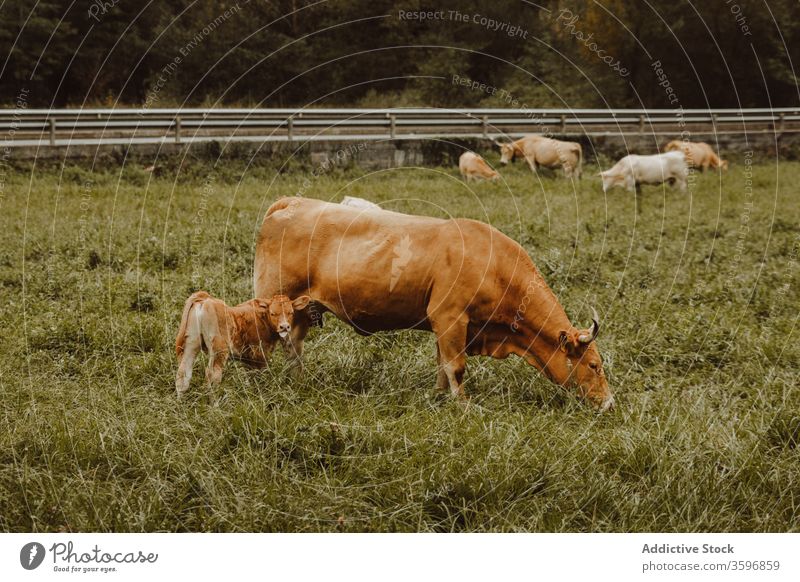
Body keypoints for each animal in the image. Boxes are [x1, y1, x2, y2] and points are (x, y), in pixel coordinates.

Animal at [174, 290, 310, 396]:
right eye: (273, 313)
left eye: (291, 312)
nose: (284, 327)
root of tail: (206, 299)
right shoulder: (260, 353)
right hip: (219, 348)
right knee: (212, 374)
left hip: (191, 342)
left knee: (183, 372)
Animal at [255, 197, 612, 410]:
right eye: (594, 365)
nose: (608, 404)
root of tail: (291, 202)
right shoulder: (451, 319)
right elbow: (456, 366)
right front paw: (463, 405)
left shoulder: (445, 326)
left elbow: (442, 363)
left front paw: (440, 396)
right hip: (274, 303)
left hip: (301, 311)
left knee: (295, 347)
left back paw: (300, 381)